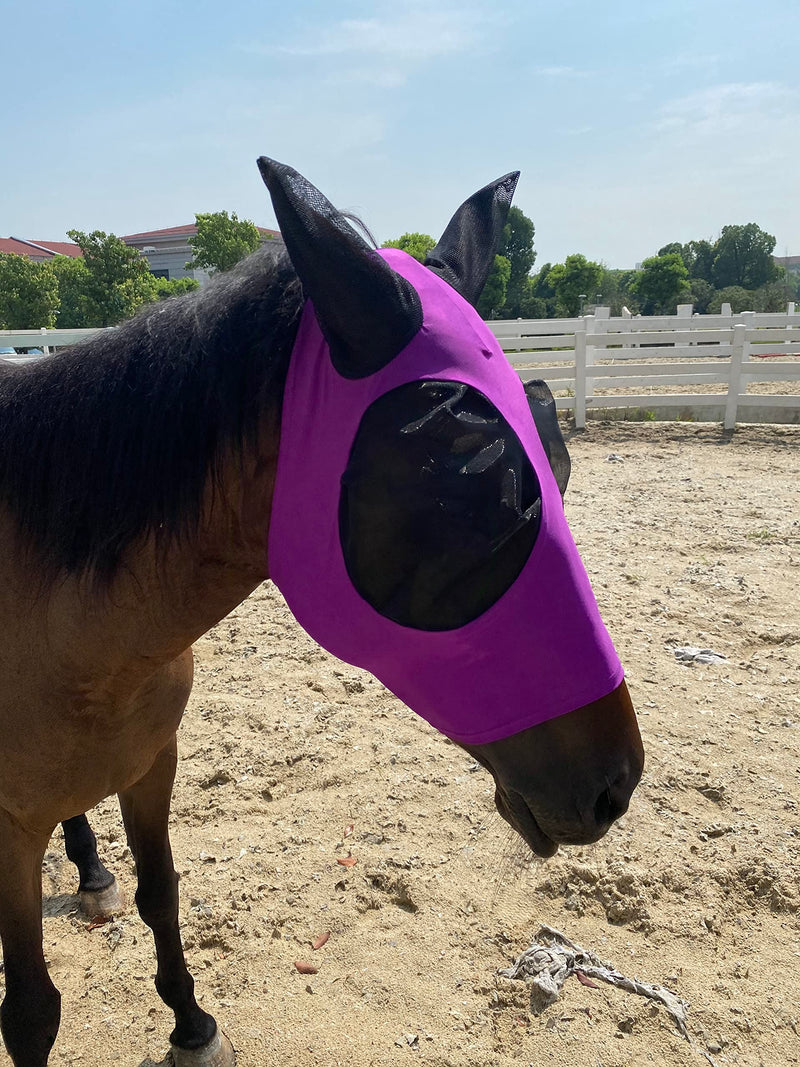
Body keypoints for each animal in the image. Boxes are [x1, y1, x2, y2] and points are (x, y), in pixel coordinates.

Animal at [0, 159, 644, 1066]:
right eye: (474, 497)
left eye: (561, 464)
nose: (617, 786)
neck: (73, 642)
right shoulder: (5, 834)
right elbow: (30, 1011)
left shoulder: (152, 765)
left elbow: (163, 893)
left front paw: (192, 1024)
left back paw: (93, 874)